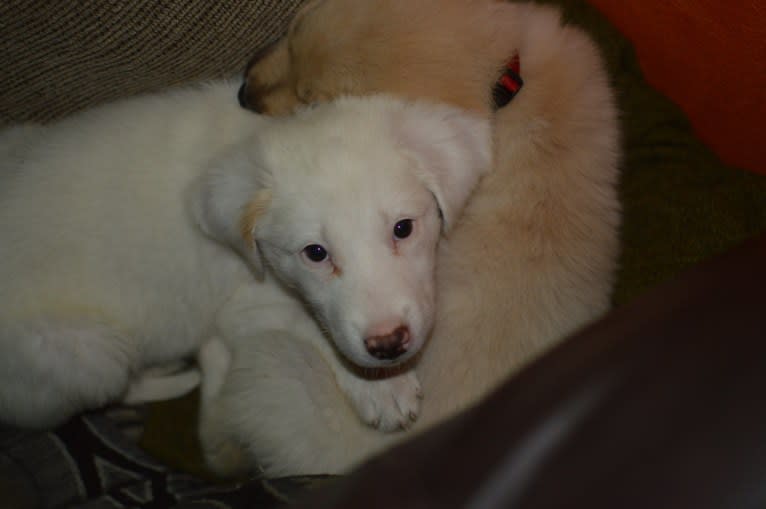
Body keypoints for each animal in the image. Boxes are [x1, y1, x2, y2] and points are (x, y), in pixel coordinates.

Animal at [0, 81, 492, 430]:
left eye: (403, 228)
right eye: (315, 253)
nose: (389, 344)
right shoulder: (238, 311)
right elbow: (310, 326)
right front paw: (381, 389)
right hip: (83, 349)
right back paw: (173, 375)